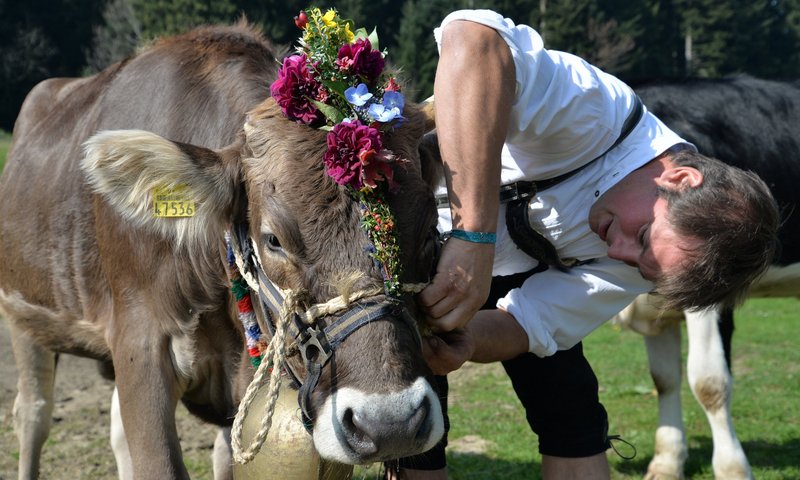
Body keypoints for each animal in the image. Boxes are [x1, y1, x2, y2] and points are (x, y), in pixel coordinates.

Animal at [0, 20, 444, 478]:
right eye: (273, 240)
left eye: (430, 232)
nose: (390, 421)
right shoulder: (139, 340)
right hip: (23, 315)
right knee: (33, 414)